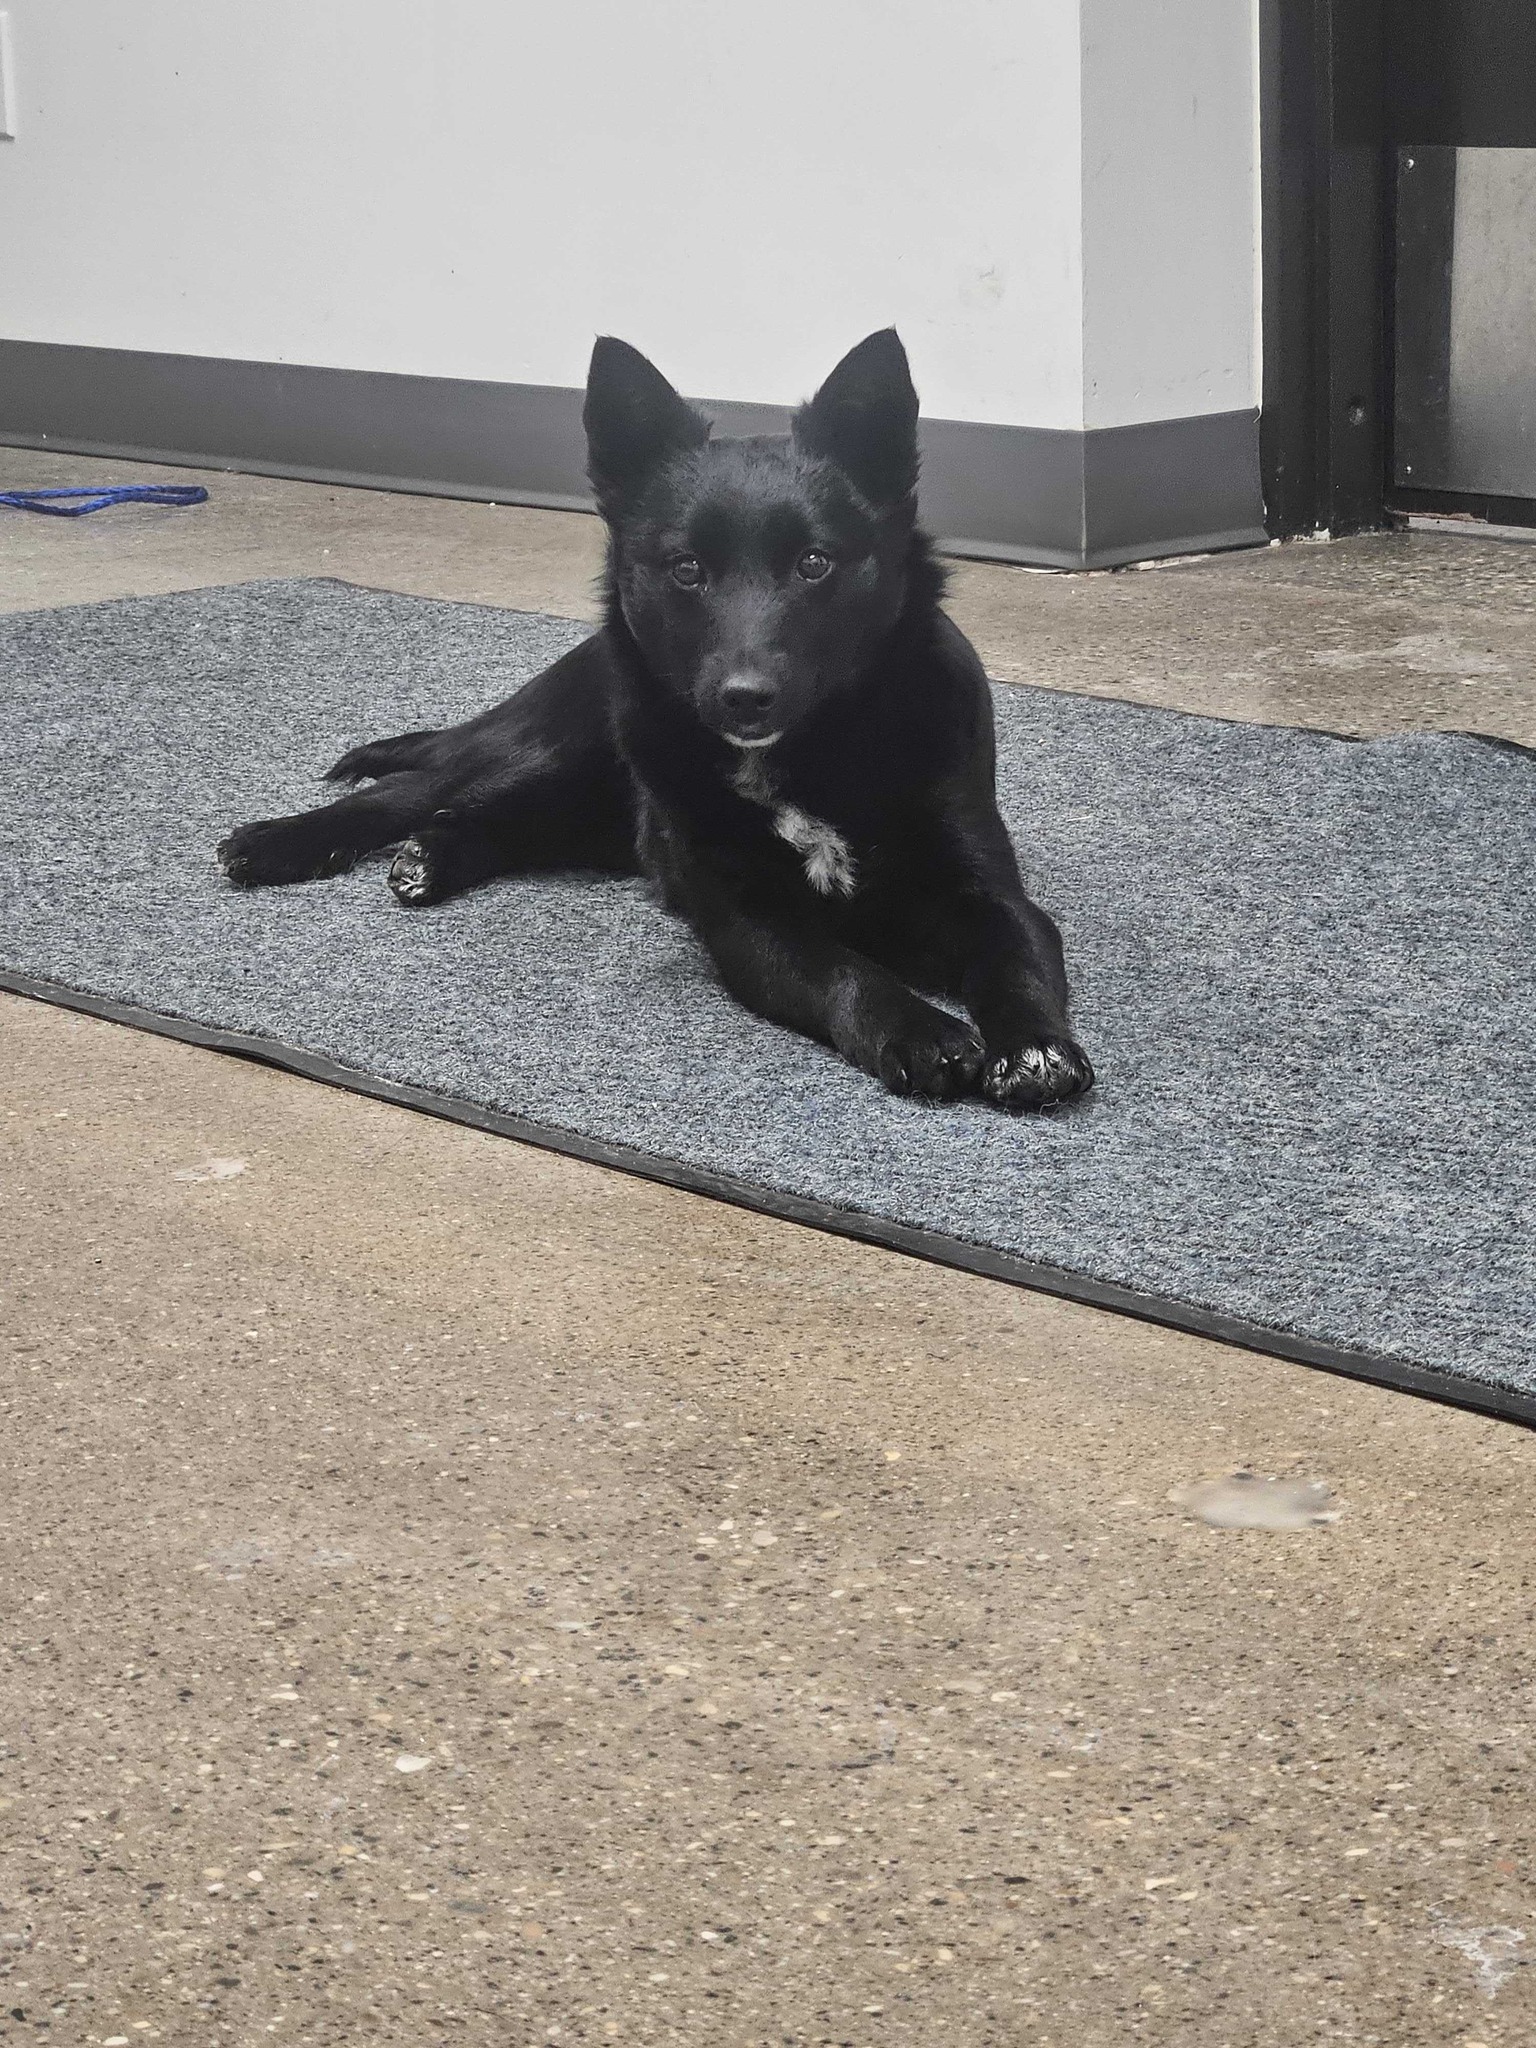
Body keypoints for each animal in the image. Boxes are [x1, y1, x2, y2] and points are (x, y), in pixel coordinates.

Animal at [225, 329, 1097, 1114]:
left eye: (814, 563)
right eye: (686, 569)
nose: (745, 698)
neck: (815, 750)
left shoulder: (987, 894)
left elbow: (1014, 957)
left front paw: (1034, 1047)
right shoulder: (751, 923)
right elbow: (848, 972)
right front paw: (921, 1031)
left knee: (482, 819)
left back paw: (433, 859)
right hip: (562, 749)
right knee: (412, 789)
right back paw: (282, 841)